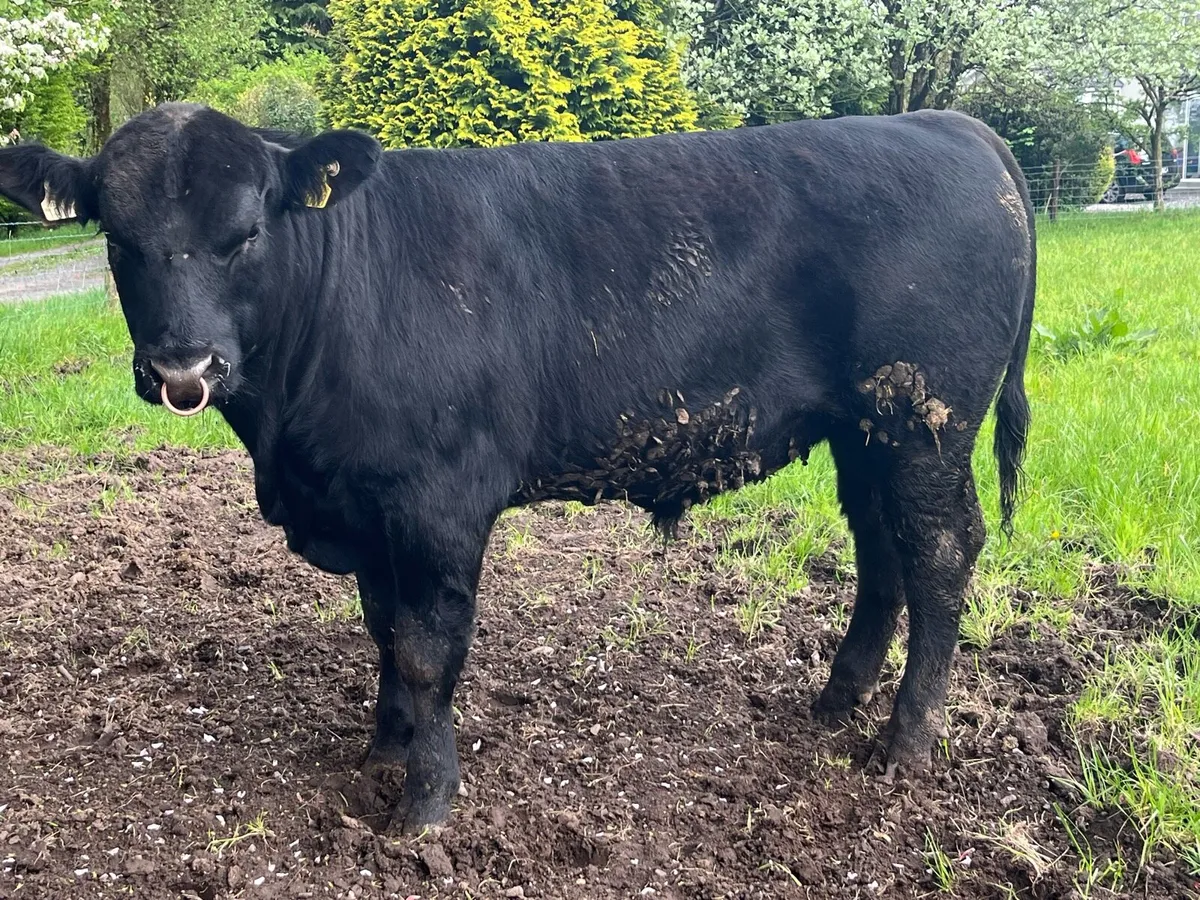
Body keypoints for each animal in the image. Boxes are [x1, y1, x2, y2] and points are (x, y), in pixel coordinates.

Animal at [0, 103, 1034, 833]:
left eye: (247, 232)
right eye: (116, 239)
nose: (184, 368)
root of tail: (950, 125)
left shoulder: (438, 502)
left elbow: (426, 648)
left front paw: (424, 805)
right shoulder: (370, 508)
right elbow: (384, 632)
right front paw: (383, 753)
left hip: (925, 420)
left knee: (940, 552)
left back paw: (904, 743)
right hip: (869, 430)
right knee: (881, 551)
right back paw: (835, 703)